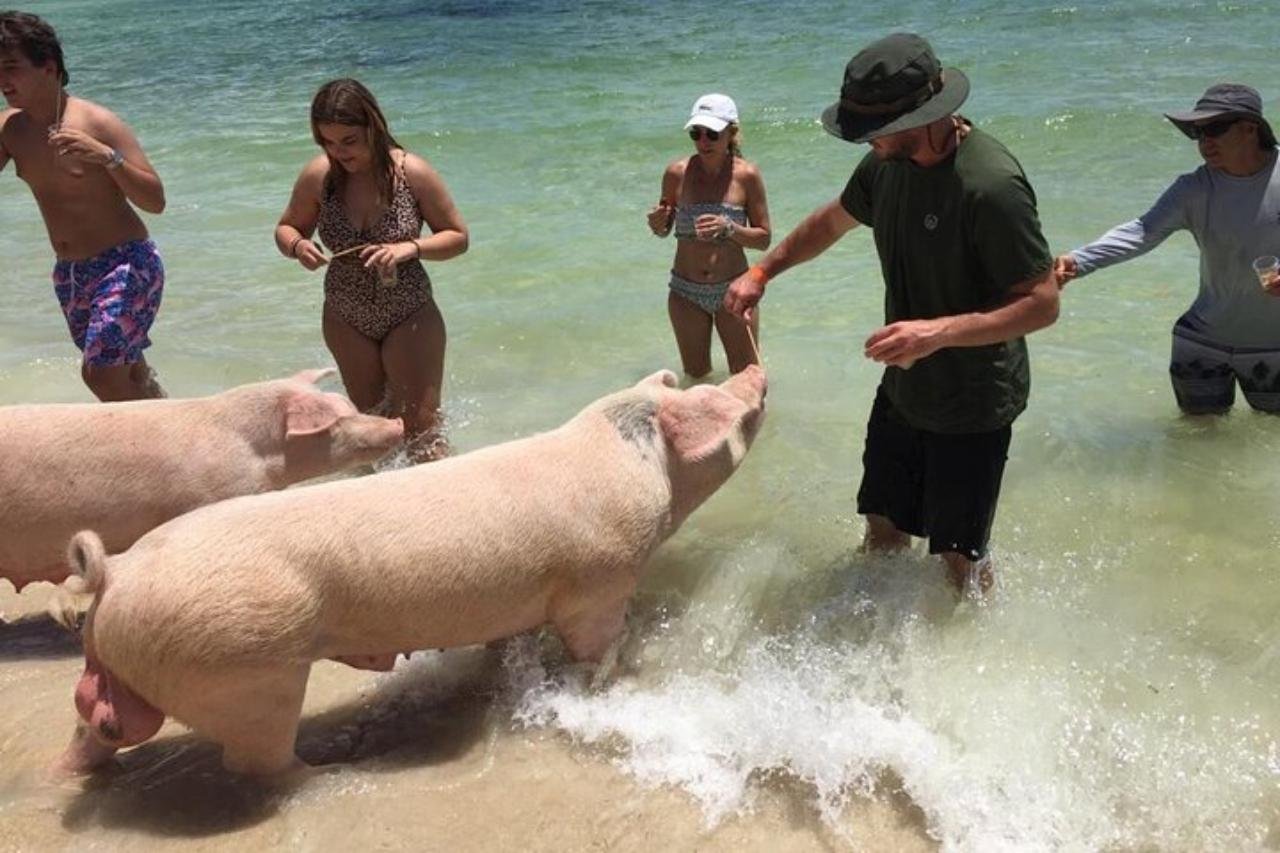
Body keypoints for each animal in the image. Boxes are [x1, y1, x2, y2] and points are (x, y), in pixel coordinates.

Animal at [58, 366, 766, 777]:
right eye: (711, 400)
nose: (756, 370)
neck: (637, 466)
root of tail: (114, 574)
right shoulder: (598, 583)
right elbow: (598, 647)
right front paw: (608, 680)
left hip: (126, 672)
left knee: (98, 726)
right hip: (246, 671)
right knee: (257, 764)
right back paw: (330, 772)